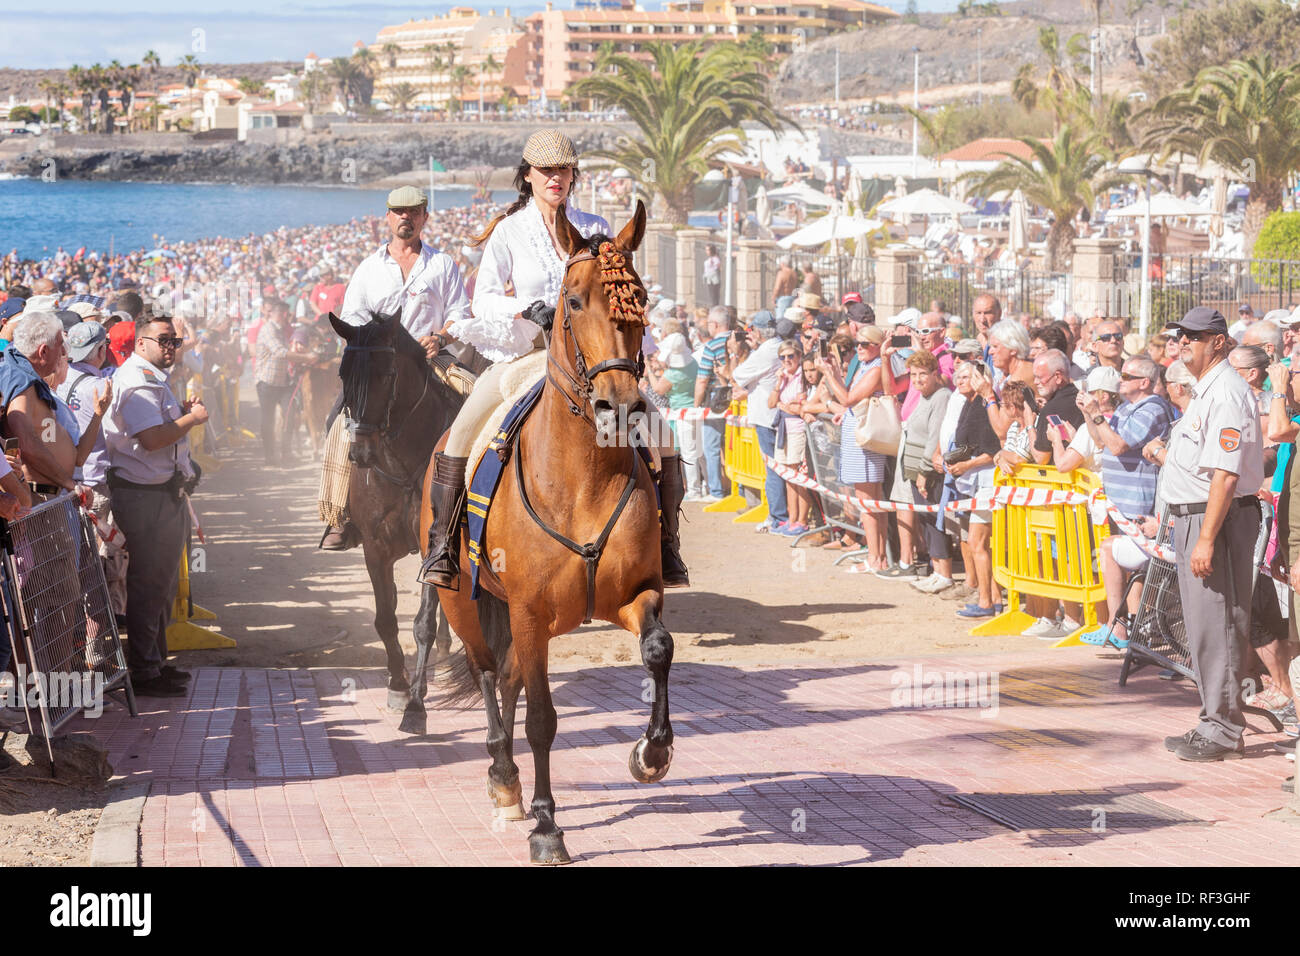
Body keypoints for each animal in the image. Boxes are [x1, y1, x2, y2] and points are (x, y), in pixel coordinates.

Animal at [329, 311, 461, 731]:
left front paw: (416, 707)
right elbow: (385, 620)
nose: (362, 452)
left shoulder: (435, 546)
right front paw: (399, 687)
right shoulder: (375, 549)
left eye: (387, 373)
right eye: (342, 373)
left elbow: (423, 623)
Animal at [425, 200, 674, 865]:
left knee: (508, 676)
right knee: (490, 673)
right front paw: (546, 825)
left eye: (640, 299)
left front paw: (652, 751)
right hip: (463, 603)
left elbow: (659, 651)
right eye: (574, 299)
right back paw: (503, 779)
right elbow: (541, 719)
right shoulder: (530, 611)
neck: (582, 480)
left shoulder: (634, 594)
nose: (621, 407)